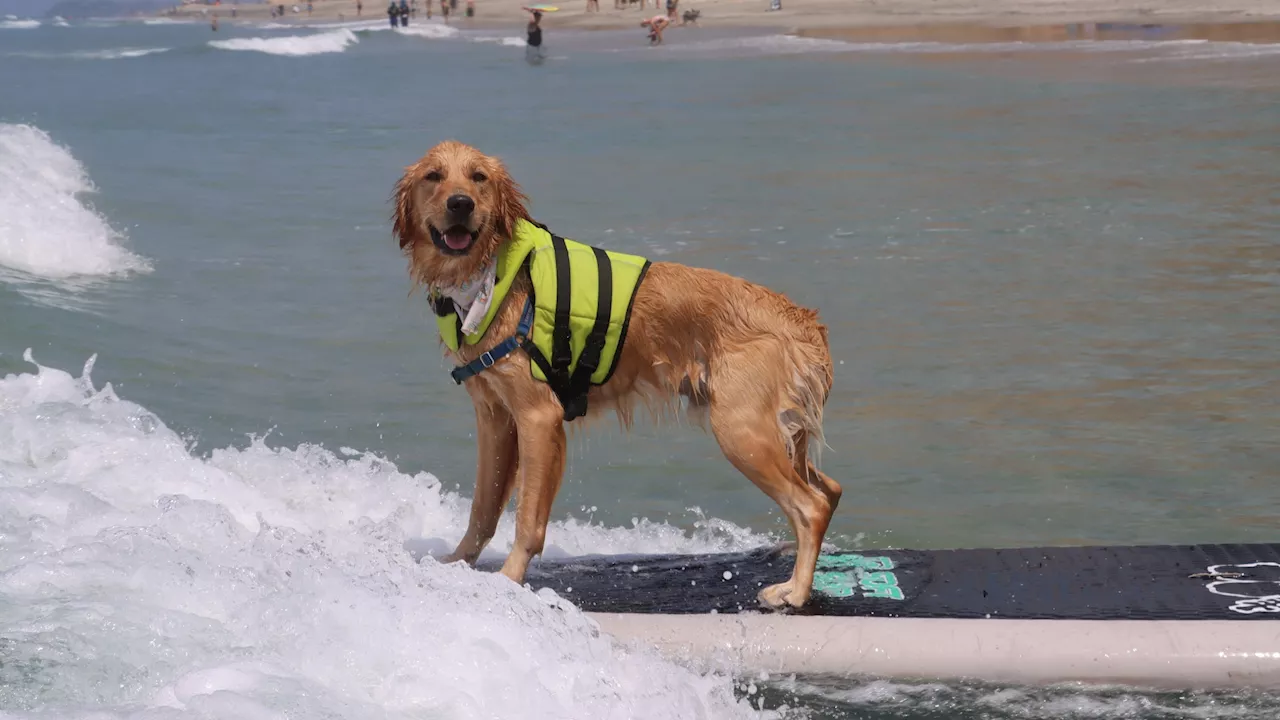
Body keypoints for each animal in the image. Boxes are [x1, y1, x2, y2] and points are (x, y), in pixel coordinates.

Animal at [389, 139, 839, 604]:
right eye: (434, 176)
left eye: (478, 177)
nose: (461, 204)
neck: (493, 278)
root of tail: (803, 321)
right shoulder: (494, 417)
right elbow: (483, 508)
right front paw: (456, 565)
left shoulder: (538, 418)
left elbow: (528, 519)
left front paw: (510, 578)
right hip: (776, 432)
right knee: (830, 489)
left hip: (741, 431)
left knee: (812, 506)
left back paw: (796, 591)